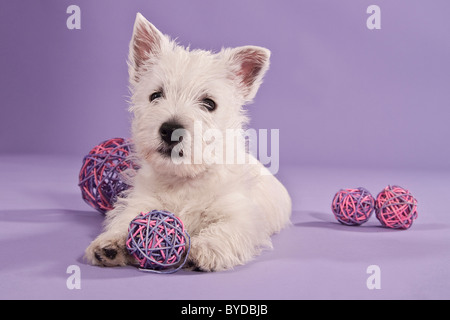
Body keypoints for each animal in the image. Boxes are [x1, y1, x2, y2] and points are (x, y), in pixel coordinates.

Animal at [85, 13, 292, 272]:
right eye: (156, 95)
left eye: (209, 103)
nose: (170, 130)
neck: (183, 179)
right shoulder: (142, 200)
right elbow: (128, 218)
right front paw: (111, 243)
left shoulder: (240, 214)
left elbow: (226, 228)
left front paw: (205, 248)